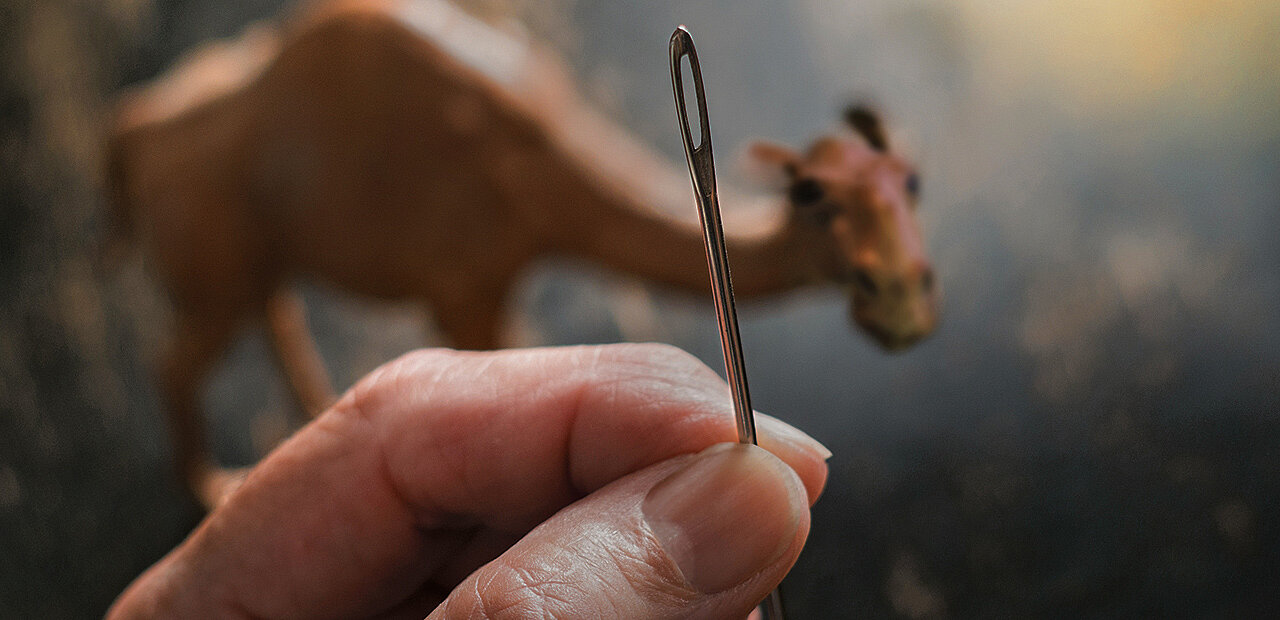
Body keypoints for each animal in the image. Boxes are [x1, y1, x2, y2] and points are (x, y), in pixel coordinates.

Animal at [104, 0, 936, 507]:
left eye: (913, 181)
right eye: (811, 196)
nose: (906, 302)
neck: (540, 176)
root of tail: (135, 130)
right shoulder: (466, 292)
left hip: (251, 258)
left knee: (270, 315)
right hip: (213, 267)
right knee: (174, 361)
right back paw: (217, 487)